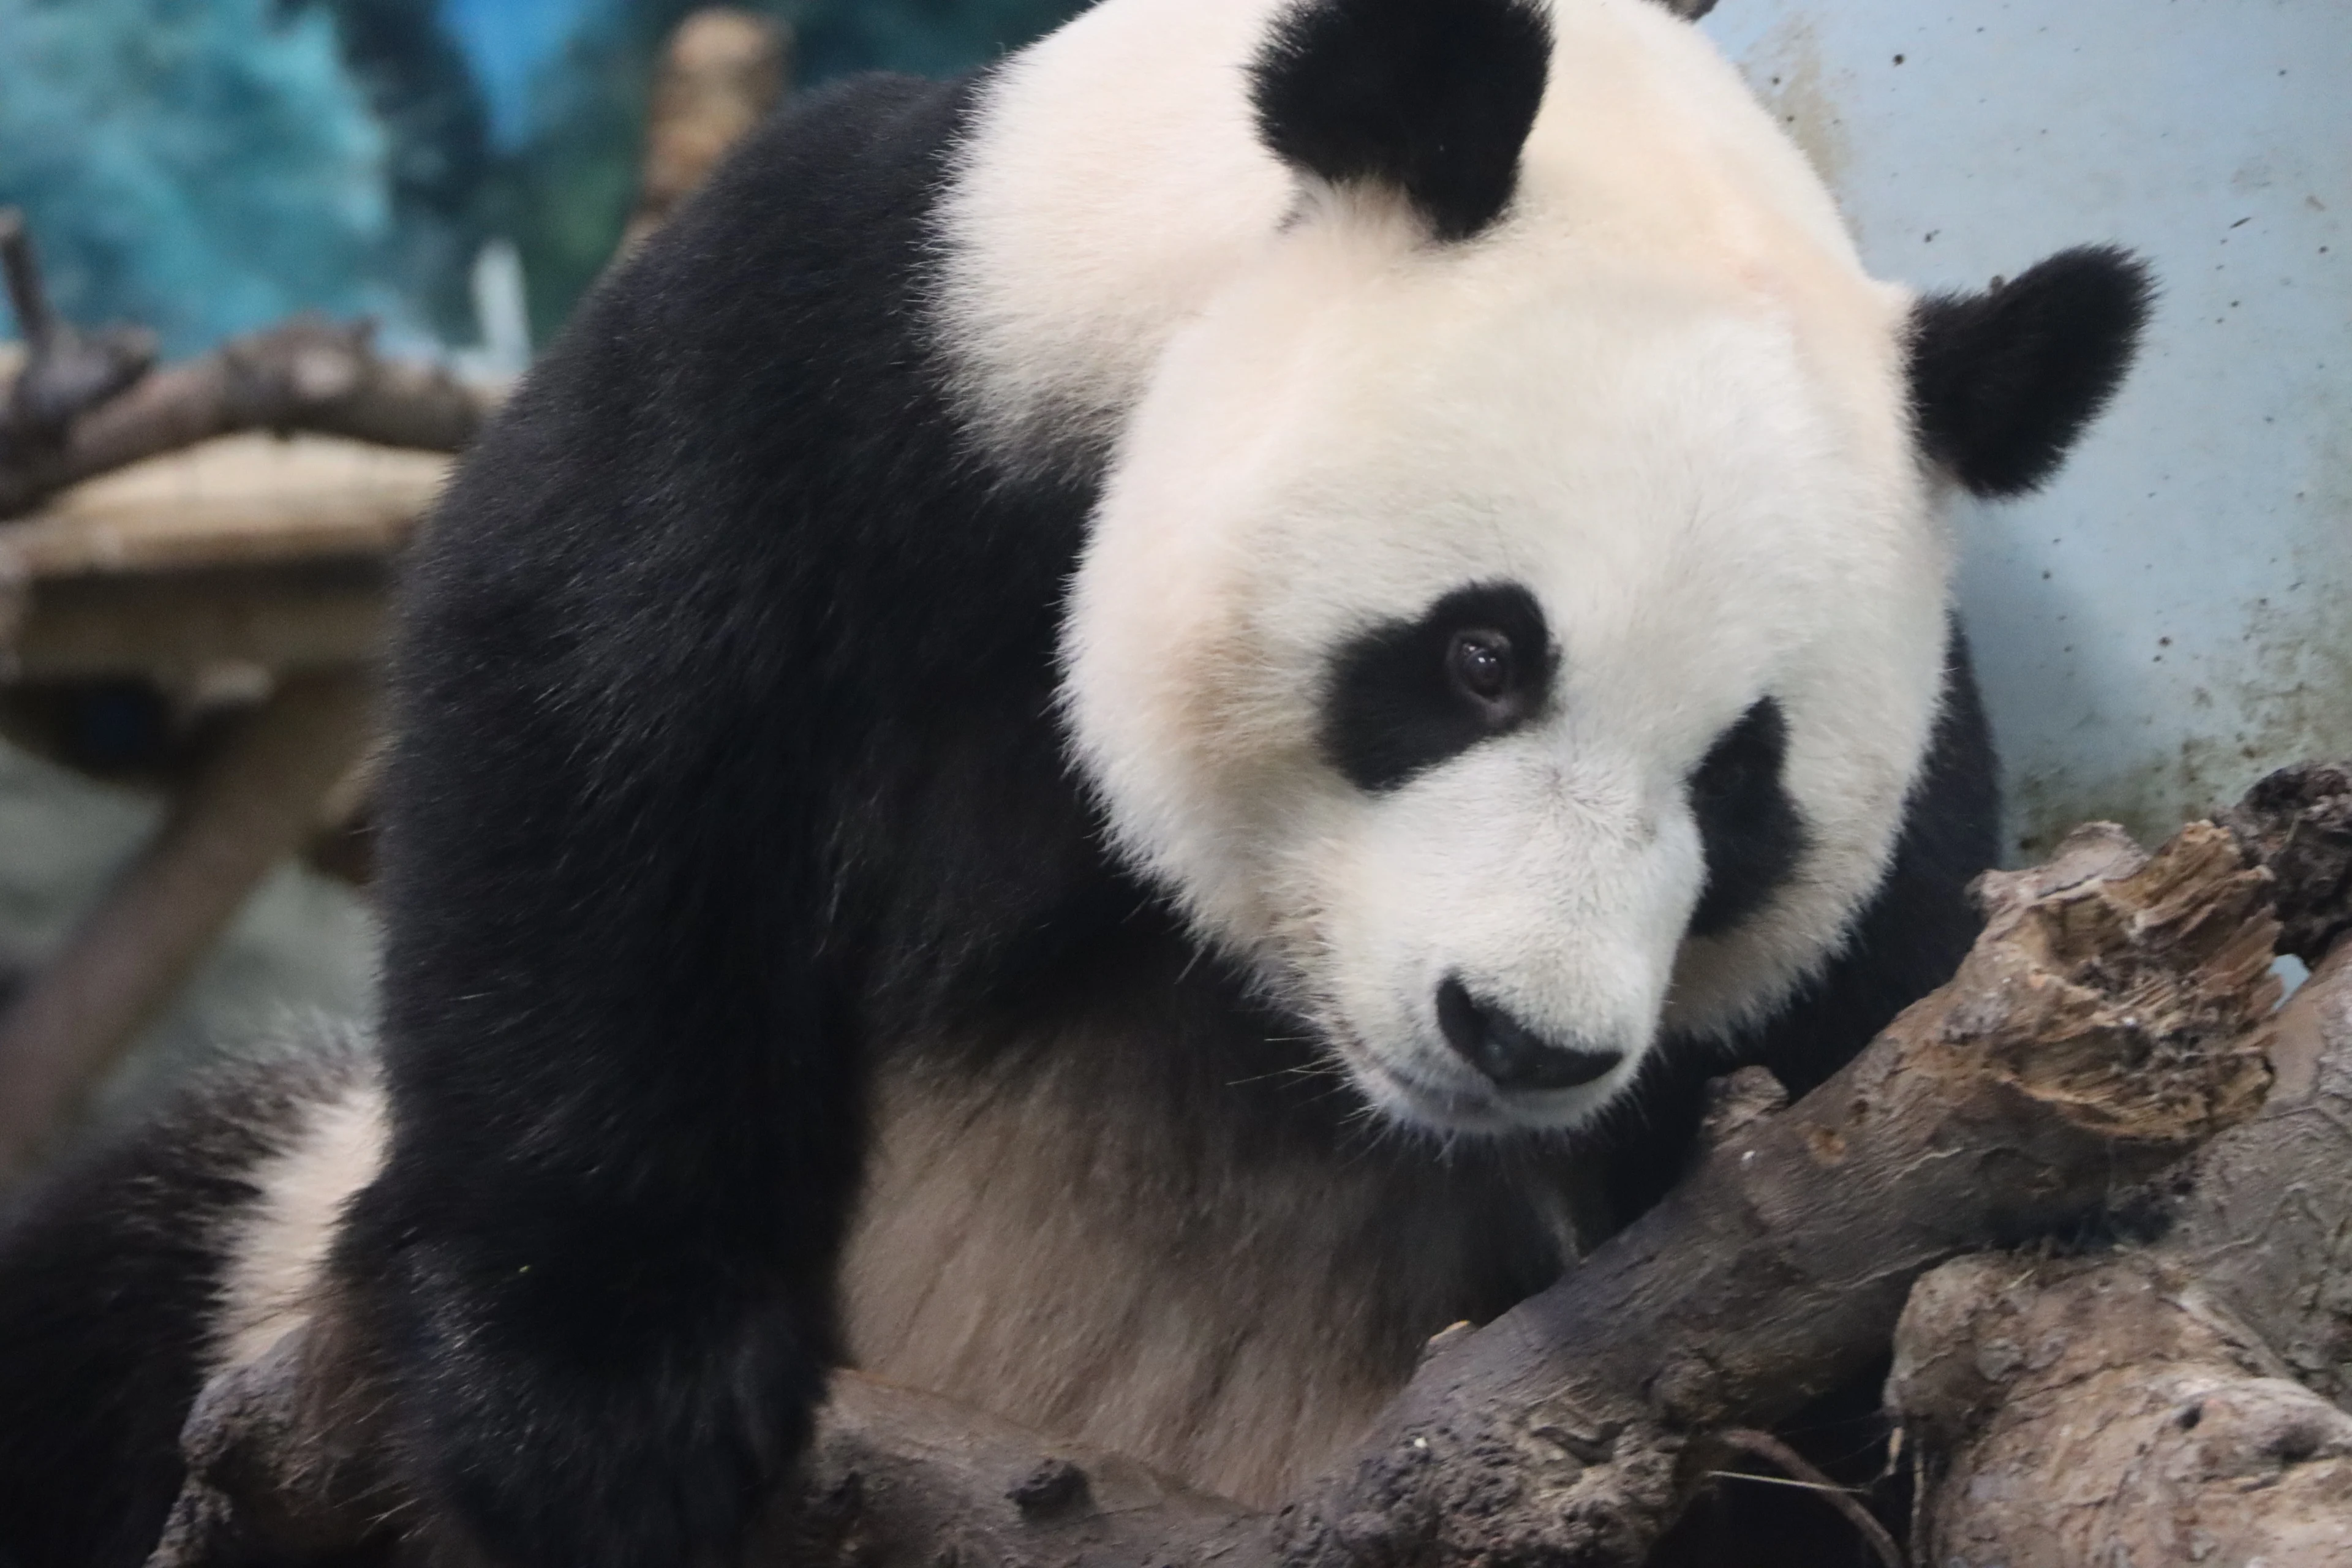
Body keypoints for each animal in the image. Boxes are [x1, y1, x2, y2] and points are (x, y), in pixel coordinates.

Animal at [0, 0, 2150, 1565]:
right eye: (1479, 656)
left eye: (1739, 787)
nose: (1521, 1036)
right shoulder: (881, 335)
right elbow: (599, 717)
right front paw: (604, 1411)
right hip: (253, 1259)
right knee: (102, 1295)